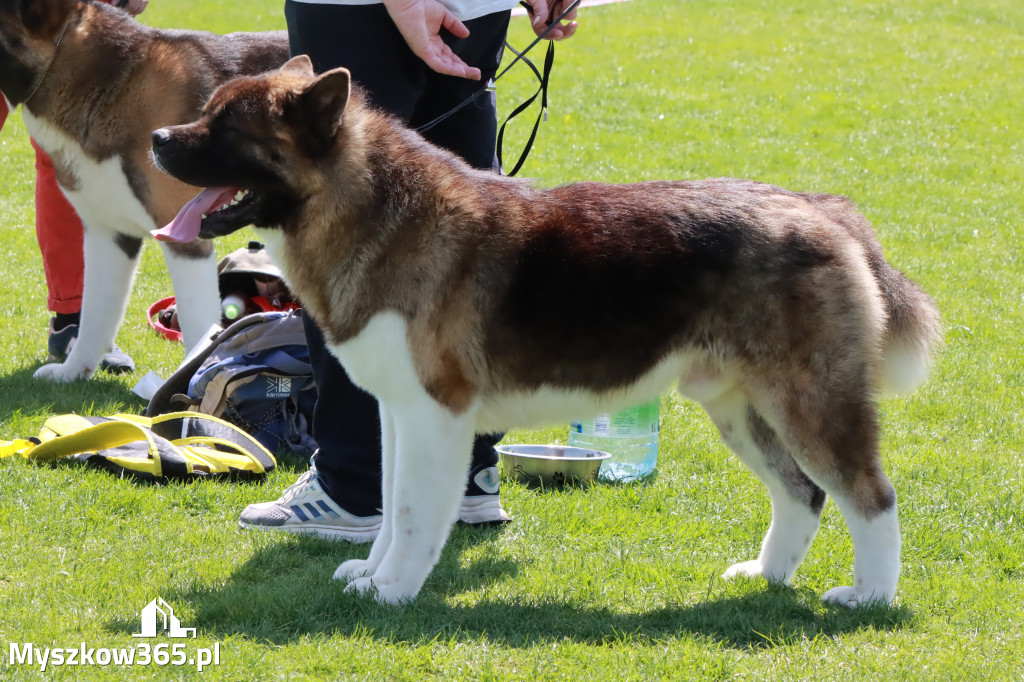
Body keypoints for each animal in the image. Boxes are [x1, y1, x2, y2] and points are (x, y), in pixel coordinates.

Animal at [151, 54, 942, 606]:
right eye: (205, 114)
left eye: (226, 129)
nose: (157, 137)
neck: (373, 209)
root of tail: (821, 209)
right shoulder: (399, 415)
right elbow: (392, 504)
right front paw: (374, 575)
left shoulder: (436, 416)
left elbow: (412, 514)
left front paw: (394, 591)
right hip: (739, 407)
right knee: (803, 494)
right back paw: (768, 575)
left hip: (808, 402)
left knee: (871, 497)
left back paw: (870, 597)